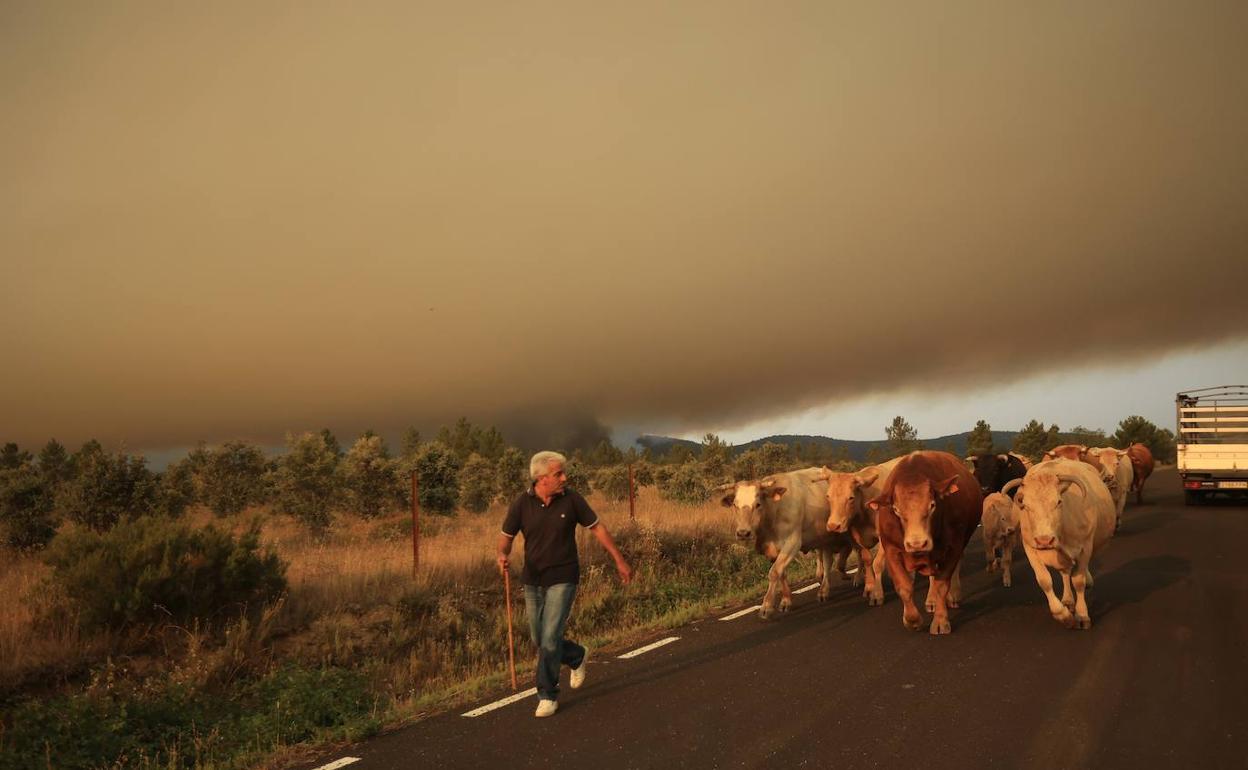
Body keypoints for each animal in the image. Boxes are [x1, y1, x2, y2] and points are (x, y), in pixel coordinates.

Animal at [718, 461, 853, 618]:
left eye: (757, 504)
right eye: (735, 504)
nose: (743, 533)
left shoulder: (792, 542)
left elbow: (774, 572)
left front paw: (766, 606)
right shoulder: (770, 549)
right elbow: (781, 573)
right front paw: (786, 601)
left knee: (828, 561)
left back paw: (824, 590)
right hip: (820, 537)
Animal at [868, 446, 983, 633]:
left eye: (932, 505)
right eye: (896, 509)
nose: (917, 543)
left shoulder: (953, 547)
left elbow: (942, 585)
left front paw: (941, 621)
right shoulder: (891, 549)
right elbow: (904, 587)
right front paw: (912, 620)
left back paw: (950, 596)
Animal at [998, 459, 1118, 626]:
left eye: (1059, 502)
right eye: (1025, 505)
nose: (1044, 540)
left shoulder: (1085, 547)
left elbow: (1078, 581)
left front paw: (1082, 615)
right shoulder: (1030, 548)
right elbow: (1044, 580)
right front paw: (1062, 614)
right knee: (1065, 573)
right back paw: (1067, 600)